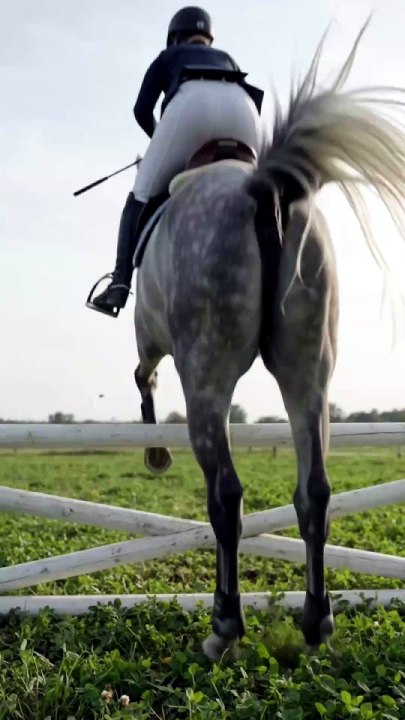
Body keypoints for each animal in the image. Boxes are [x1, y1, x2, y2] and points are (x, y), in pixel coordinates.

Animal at [132, 24, 405, 660]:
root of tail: (262, 188)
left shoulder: (148, 335)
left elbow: (142, 375)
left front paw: (155, 454)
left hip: (207, 378)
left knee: (226, 497)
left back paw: (224, 625)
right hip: (309, 374)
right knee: (315, 493)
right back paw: (315, 620)